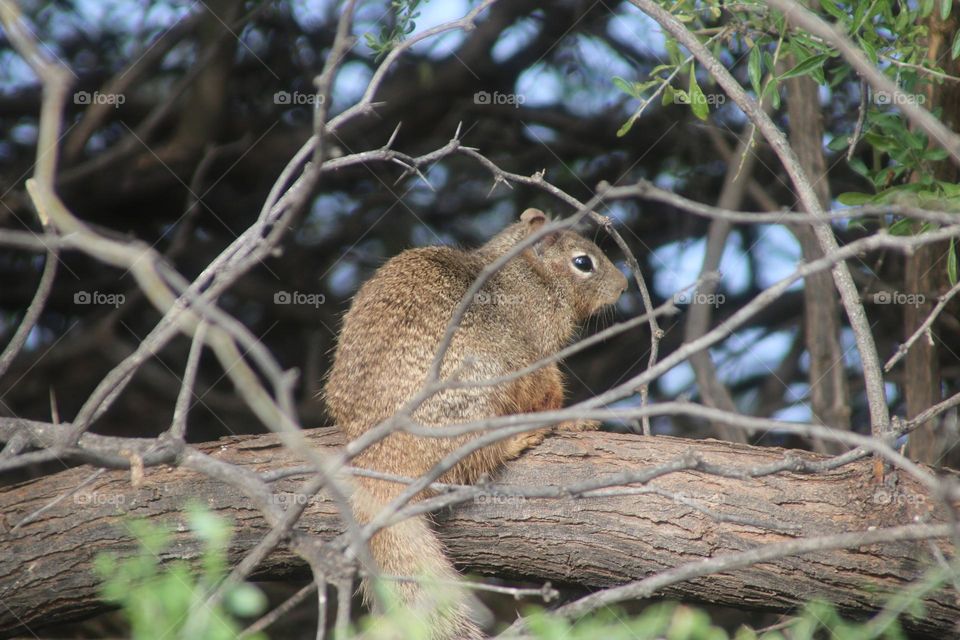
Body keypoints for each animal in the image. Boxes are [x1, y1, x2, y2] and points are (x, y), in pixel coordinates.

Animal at [323, 208, 628, 639]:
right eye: (583, 262)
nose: (623, 286)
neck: (527, 272)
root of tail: (381, 451)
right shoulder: (537, 355)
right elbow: (546, 393)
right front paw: (571, 421)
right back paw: (519, 438)